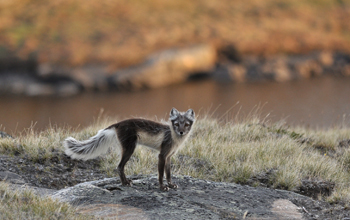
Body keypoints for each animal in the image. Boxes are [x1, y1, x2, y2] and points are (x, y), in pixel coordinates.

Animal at [63, 108, 194, 191]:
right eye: (176, 124)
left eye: (186, 125)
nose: (181, 132)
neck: (173, 137)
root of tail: (118, 123)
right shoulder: (162, 155)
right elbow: (161, 175)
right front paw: (162, 187)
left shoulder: (169, 156)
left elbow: (168, 174)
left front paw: (171, 185)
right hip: (130, 149)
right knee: (119, 166)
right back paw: (125, 183)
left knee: (120, 167)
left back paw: (125, 182)